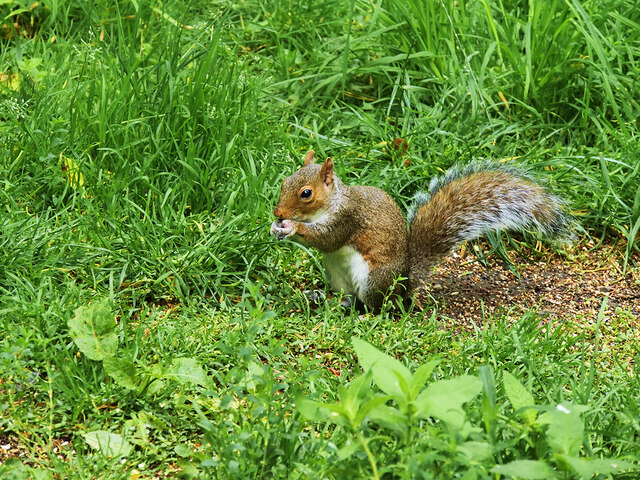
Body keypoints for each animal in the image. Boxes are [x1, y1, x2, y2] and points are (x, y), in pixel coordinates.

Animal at [268, 149, 572, 308]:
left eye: (306, 193)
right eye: (284, 181)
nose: (278, 212)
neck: (332, 202)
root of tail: (404, 283)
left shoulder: (347, 217)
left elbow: (328, 239)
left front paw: (291, 227)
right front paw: (275, 227)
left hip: (373, 279)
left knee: (372, 305)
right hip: (337, 275)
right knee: (348, 296)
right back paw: (326, 299)